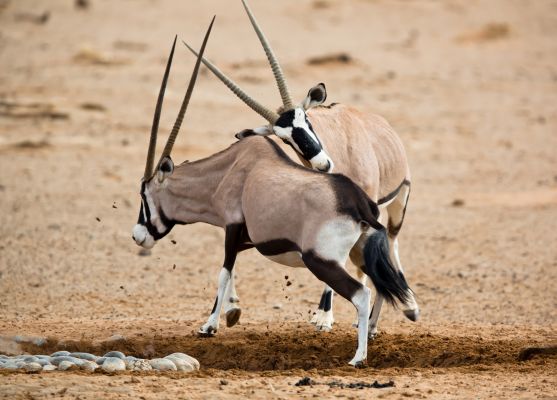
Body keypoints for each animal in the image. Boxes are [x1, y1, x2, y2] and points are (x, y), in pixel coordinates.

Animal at [131, 18, 415, 367]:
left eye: (143, 195)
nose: (138, 235)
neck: (230, 168)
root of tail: (359, 204)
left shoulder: (232, 227)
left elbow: (223, 272)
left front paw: (209, 325)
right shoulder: (247, 237)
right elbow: (231, 272)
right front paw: (232, 311)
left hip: (324, 258)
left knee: (361, 292)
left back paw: (357, 356)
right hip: (360, 249)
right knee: (379, 282)